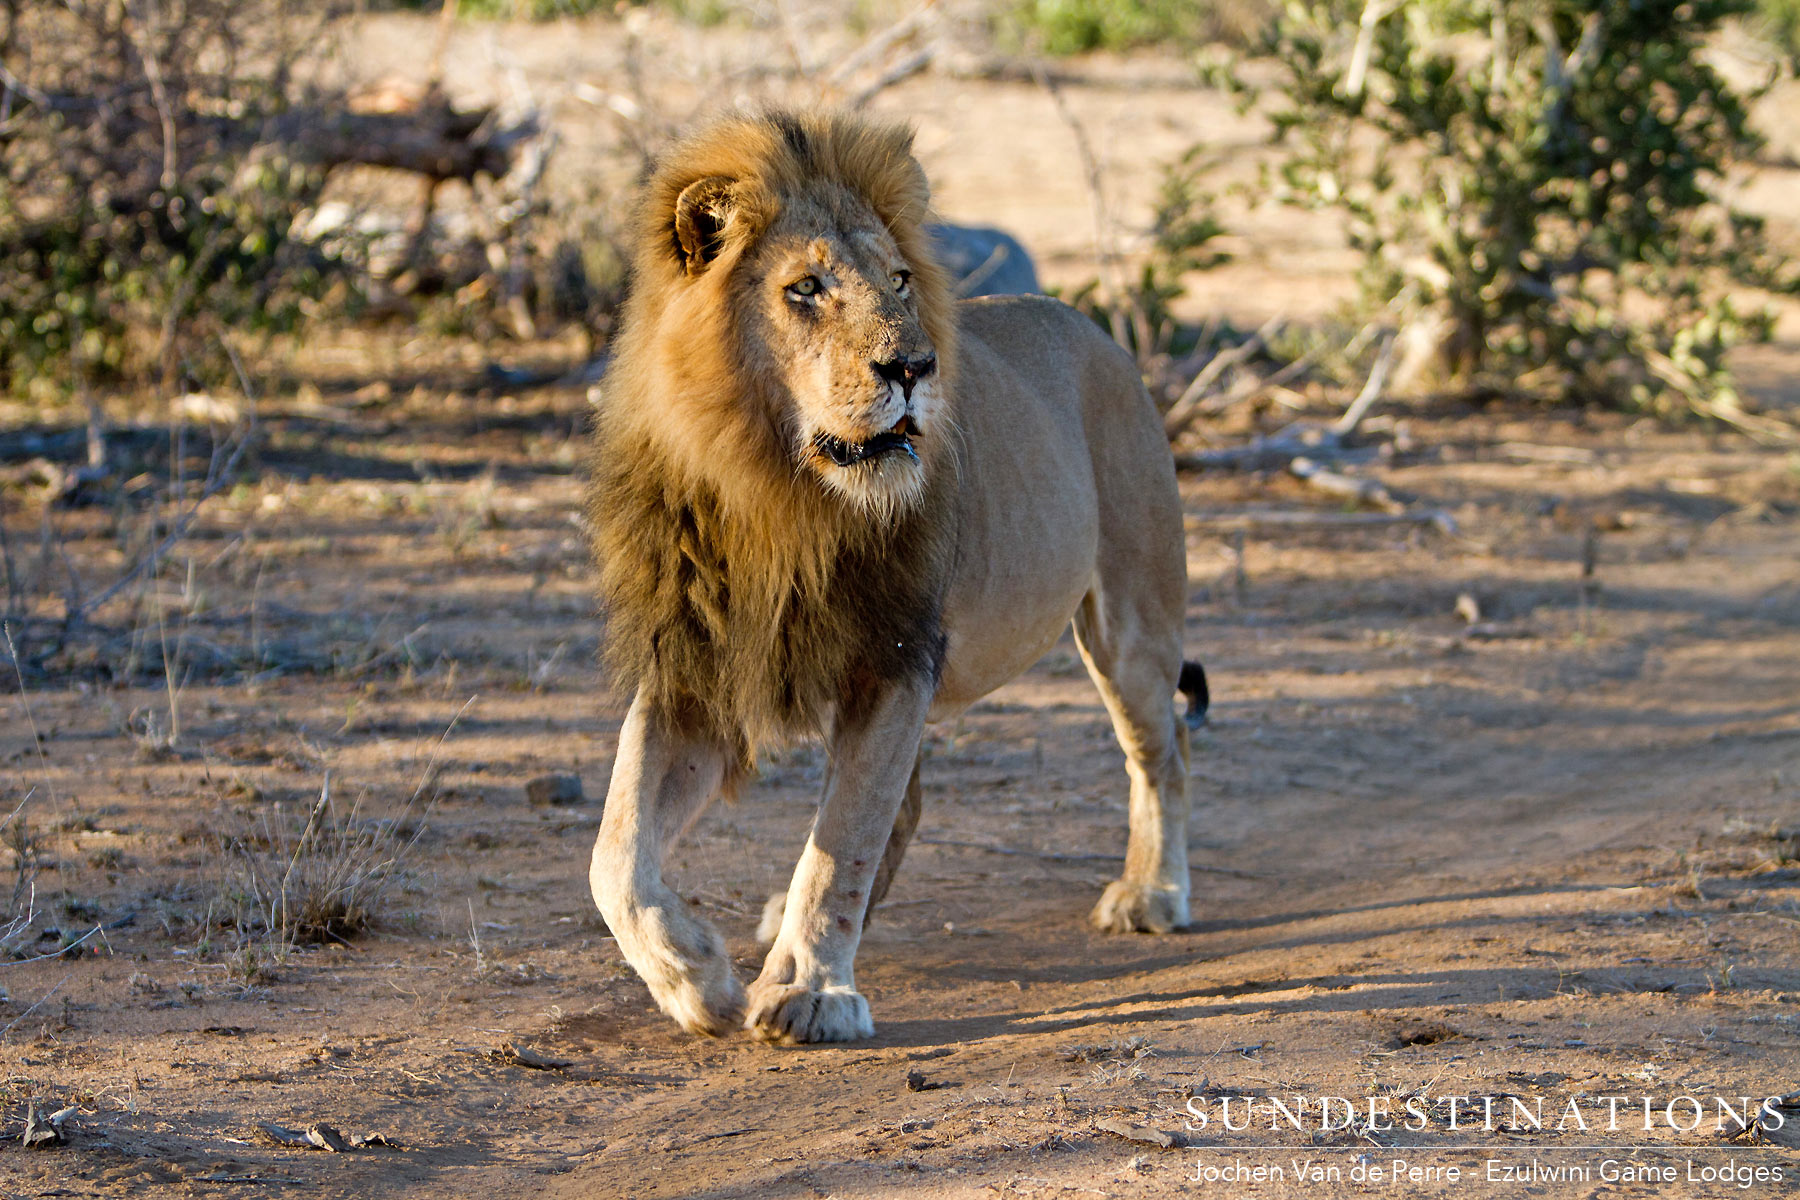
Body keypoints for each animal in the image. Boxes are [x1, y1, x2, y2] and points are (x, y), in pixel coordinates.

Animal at [587, 109, 1207, 1044]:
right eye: (806, 289)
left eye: (902, 281)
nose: (913, 368)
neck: (776, 494)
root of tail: (1090, 323)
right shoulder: (699, 668)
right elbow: (616, 851)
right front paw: (696, 979)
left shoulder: (895, 656)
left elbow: (845, 833)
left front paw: (809, 992)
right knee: (904, 809)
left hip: (1131, 623)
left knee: (1161, 755)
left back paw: (1151, 894)